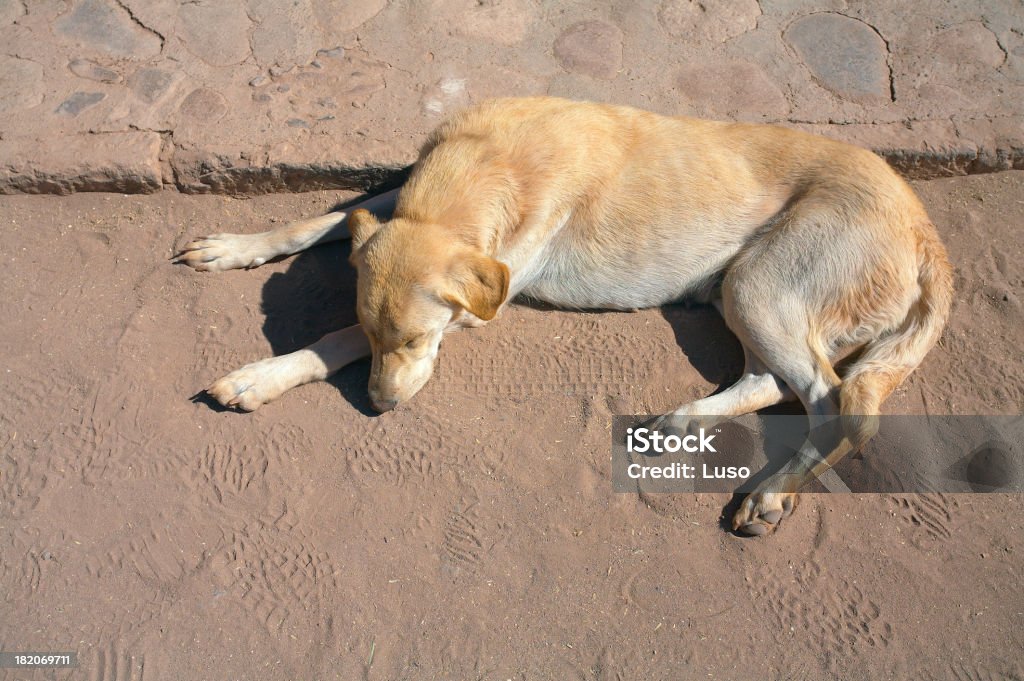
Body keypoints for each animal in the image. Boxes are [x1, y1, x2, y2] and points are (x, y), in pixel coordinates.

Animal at [176, 95, 950, 532]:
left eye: (416, 338)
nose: (380, 406)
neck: (489, 166)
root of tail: (925, 230)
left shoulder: (482, 300)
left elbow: (331, 339)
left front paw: (261, 376)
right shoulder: (401, 204)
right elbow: (322, 219)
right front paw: (237, 246)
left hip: (762, 285)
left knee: (837, 406)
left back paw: (773, 492)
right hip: (749, 293)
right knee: (770, 382)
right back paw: (682, 424)